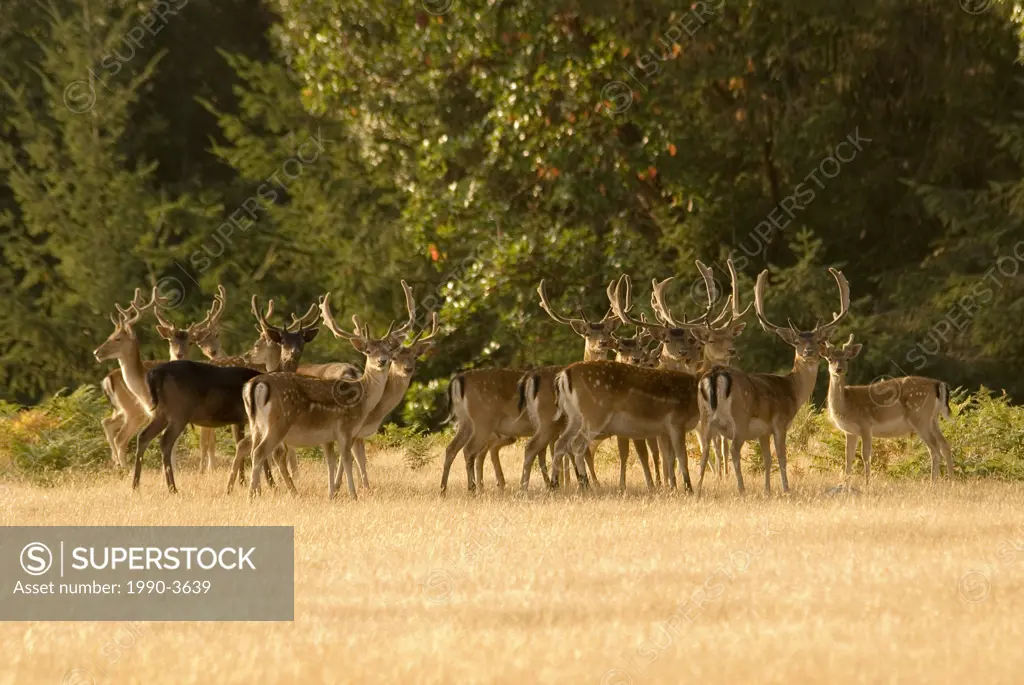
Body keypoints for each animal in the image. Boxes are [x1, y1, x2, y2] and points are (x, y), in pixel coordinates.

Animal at [696, 264, 847, 493]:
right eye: (796, 342)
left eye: (819, 340)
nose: (809, 352)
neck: (792, 391)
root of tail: (714, 375)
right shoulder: (779, 422)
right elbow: (782, 457)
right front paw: (786, 489)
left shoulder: (763, 431)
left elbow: (767, 459)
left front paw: (767, 490)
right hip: (739, 418)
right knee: (734, 451)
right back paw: (741, 489)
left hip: (704, 418)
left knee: (704, 452)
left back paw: (697, 490)